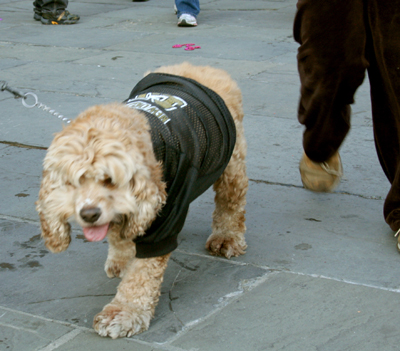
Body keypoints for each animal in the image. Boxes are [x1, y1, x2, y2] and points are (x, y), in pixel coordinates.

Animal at [36, 62, 247, 340]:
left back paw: (226, 238)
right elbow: (120, 235)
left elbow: (142, 274)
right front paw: (121, 260)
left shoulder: (164, 215)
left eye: (109, 180)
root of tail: (198, 66)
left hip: (231, 161)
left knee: (231, 202)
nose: (89, 214)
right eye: (72, 181)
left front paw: (124, 312)